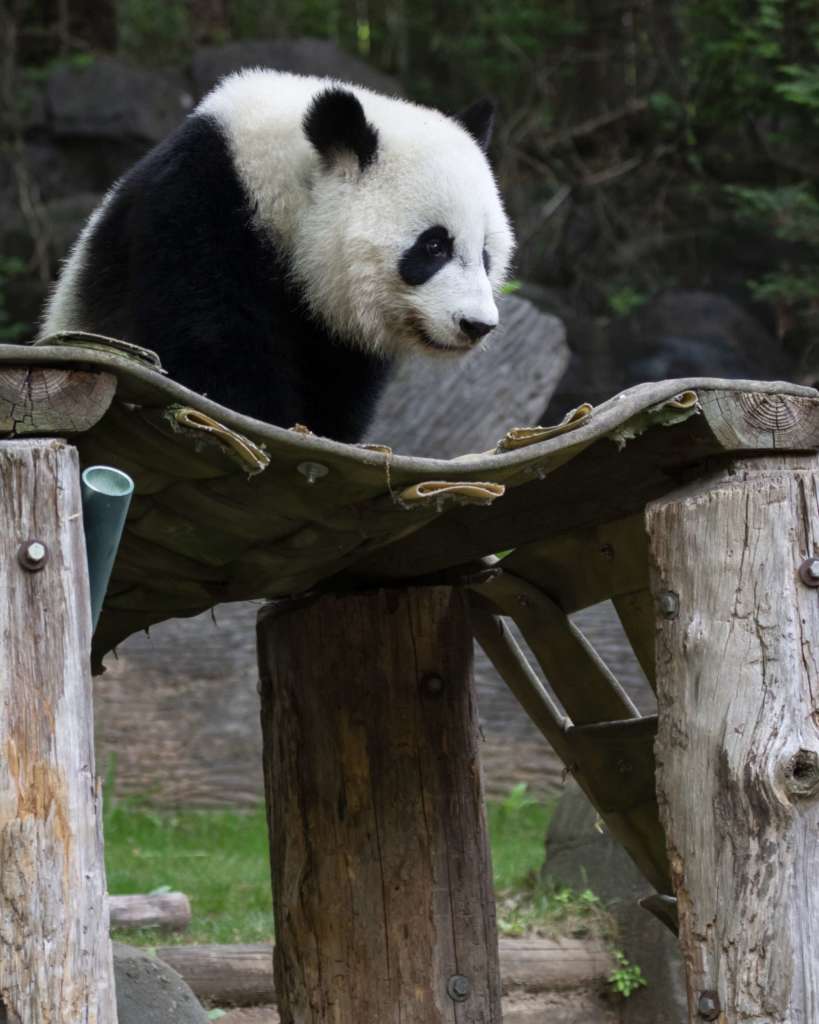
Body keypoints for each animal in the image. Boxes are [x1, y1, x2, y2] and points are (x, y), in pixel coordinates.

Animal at [39, 69, 511, 440]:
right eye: (434, 245)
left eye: (486, 254)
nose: (476, 325)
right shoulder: (195, 215)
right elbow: (216, 357)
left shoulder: (337, 334)